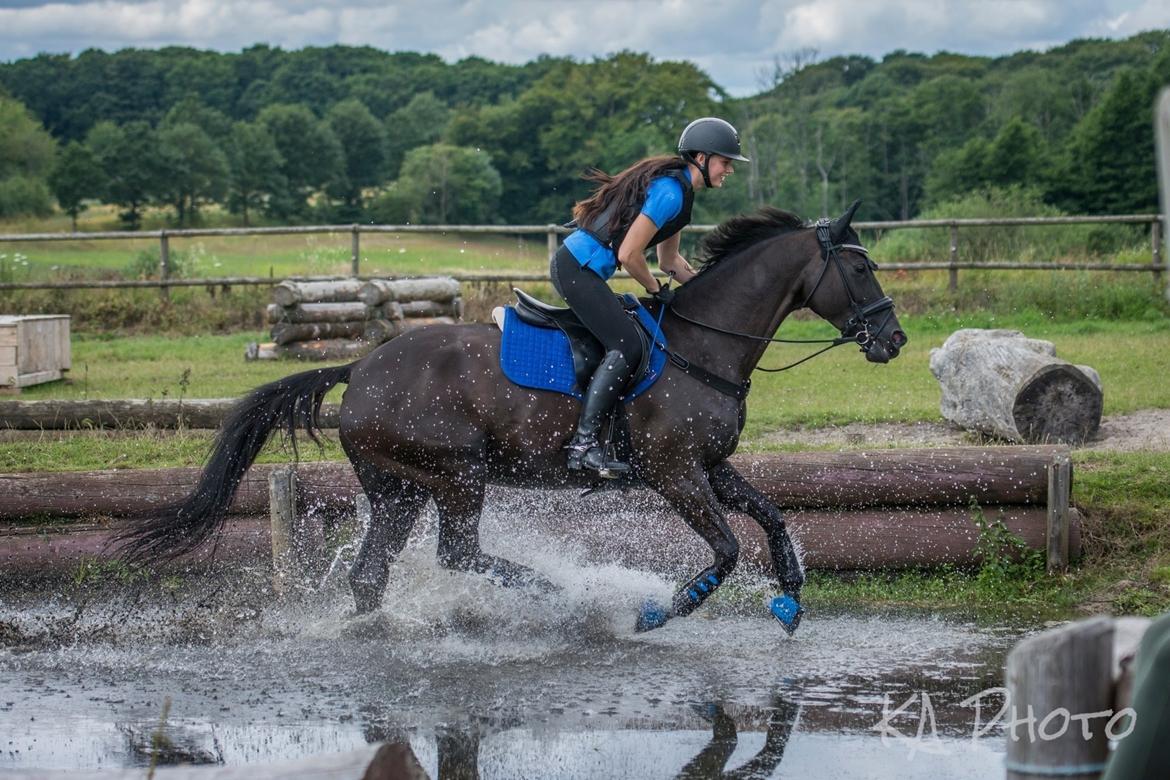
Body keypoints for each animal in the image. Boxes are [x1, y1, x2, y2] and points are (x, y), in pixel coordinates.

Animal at [121, 201, 903, 636]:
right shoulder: (674, 471)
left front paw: (791, 600)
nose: (892, 339)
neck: (701, 345)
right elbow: (727, 548)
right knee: (458, 553)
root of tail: (359, 368)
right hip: (457, 473)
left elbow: (770, 517)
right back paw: (564, 595)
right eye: (862, 271)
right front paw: (655, 612)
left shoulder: (710, 465)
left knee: (374, 572)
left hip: (400, 487)